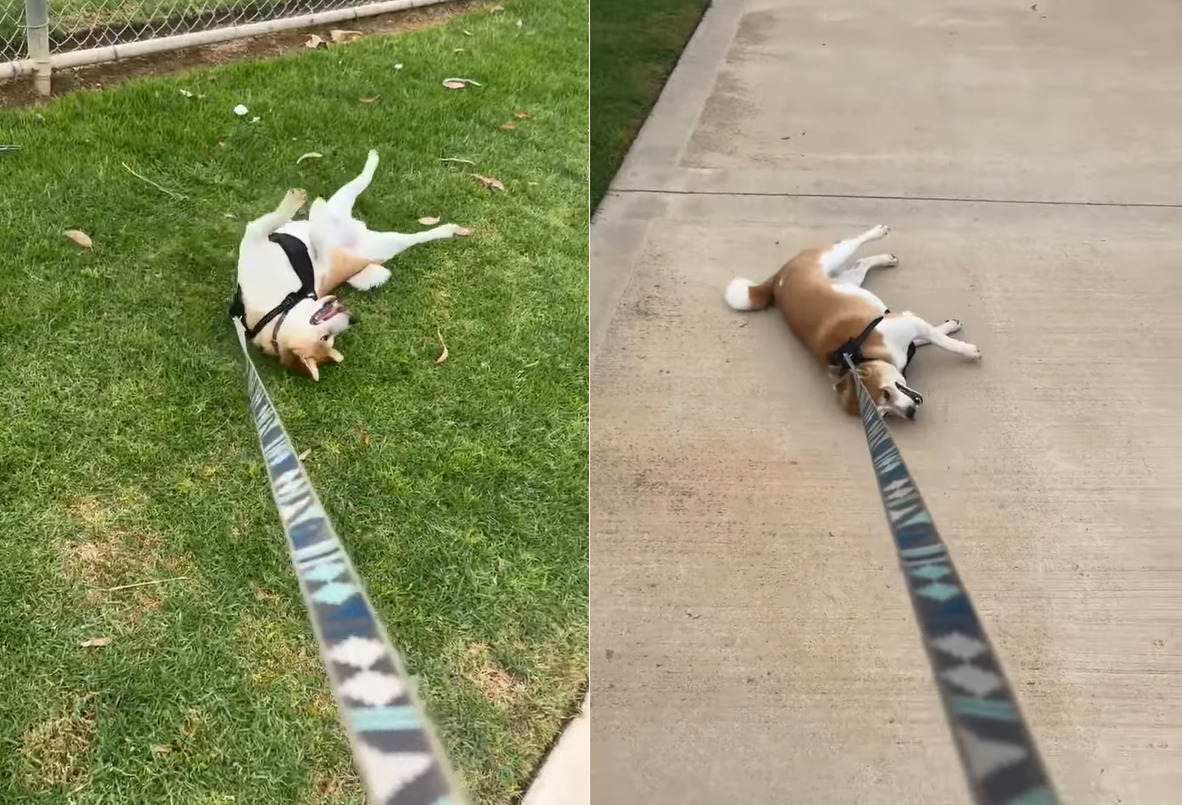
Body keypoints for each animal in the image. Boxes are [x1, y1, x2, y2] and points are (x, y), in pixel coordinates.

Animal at [228, 148, 468, 378]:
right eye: (327, 338)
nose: (353, 319)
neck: (278, 309)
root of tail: (359, 229)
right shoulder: (257, 237)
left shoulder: (257, 236)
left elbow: (285, 224)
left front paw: (299, 207)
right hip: (376, 236)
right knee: (412, 233)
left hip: (349, 215)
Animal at [723, 223, 983, 418]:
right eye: (885, 414)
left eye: (885, 394)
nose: (910, 414)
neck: (861, 355)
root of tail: (777, 279)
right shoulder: (906, 328)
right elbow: (928, 338)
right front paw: (951, 329)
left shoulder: (909, 324)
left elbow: (942, 341)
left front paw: (967, 350)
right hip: (849, 279)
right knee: (860, 264)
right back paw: (884, 258)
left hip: (833, 257)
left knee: (852, 242)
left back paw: (877, 232)